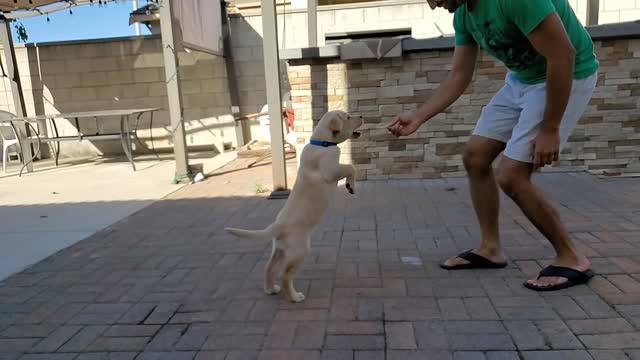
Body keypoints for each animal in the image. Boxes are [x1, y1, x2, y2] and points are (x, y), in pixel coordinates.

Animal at [228, 109, 362, 300]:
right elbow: (351, 167)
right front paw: (351, 186)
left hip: (278, 249)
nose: (362, 117)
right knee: (285, 275)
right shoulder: (331, 170)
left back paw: (270, 289)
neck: (322, 143)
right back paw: (294, 296)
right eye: (348, 117)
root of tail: (278, 225)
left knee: (268, 268)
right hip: (300, 251)